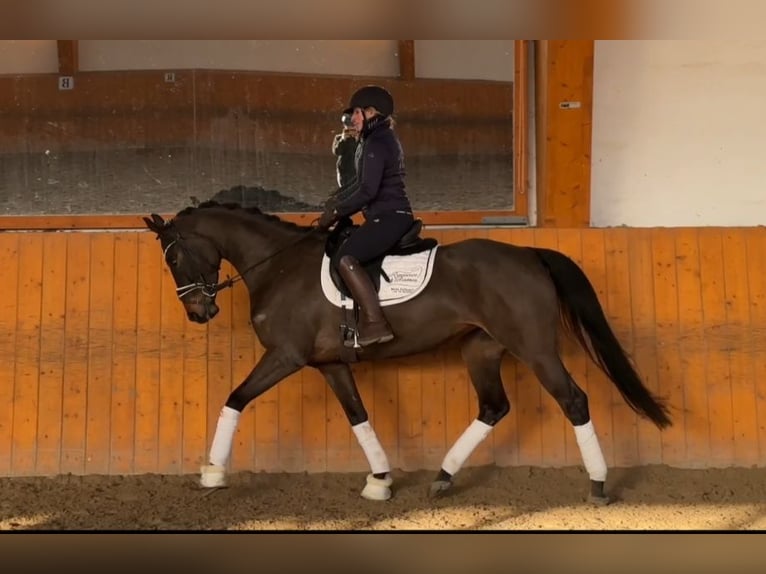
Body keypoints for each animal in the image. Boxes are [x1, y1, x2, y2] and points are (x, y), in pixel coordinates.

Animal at [144, 200, 672, 506]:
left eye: (174, 256)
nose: (198, 312)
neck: (279, 266)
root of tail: (528, 254)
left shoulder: (286, 356)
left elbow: (234, 399)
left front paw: (213, 472)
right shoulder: (331, 364)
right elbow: (358, 416)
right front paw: (380, 479)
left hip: (535, 347)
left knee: (573, 401)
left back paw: (598, 485)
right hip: (482, 349)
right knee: (494, 406)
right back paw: (443, 477)